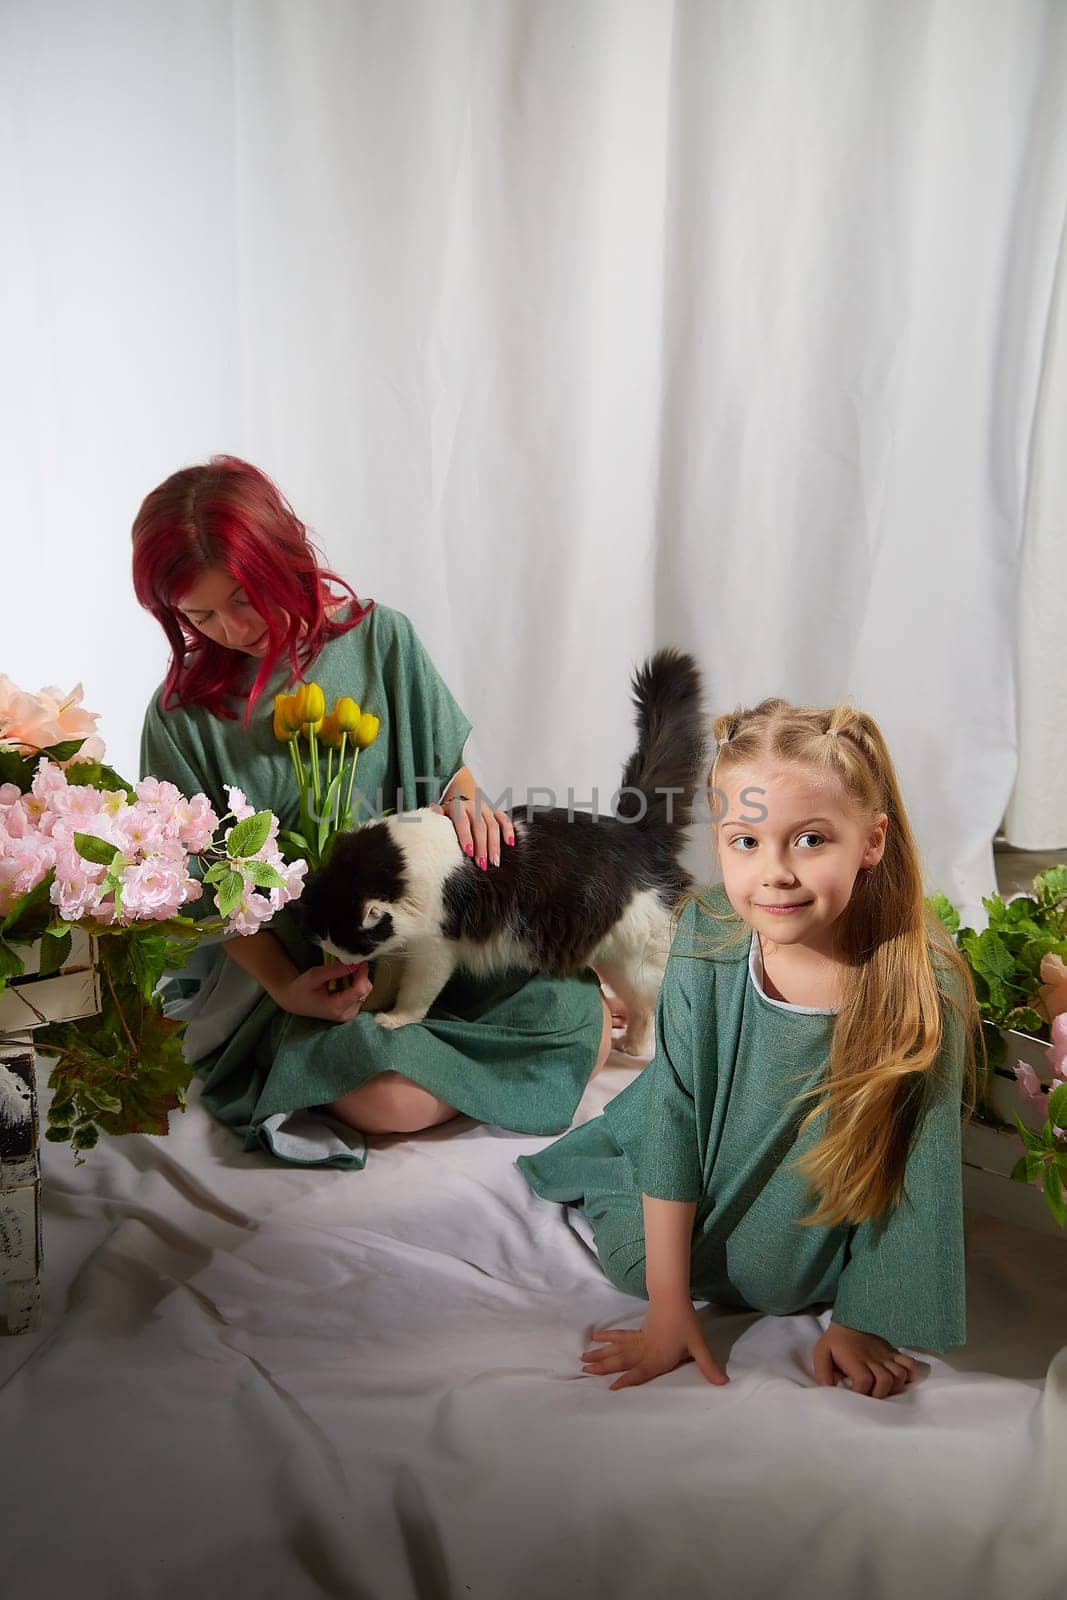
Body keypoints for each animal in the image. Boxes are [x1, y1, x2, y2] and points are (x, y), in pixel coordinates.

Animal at [295, 643, 703, 1056]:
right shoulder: (402, 944)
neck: (402, 862)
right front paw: (370, 1003)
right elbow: (388, 980)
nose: (342, 966)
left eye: (346, 946)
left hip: (635, 961)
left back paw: (637, 1049)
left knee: (651, 1007)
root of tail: (635, 831)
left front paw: (394, 1020)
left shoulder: (434, 950)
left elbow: (414, 995)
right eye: (329, 942)